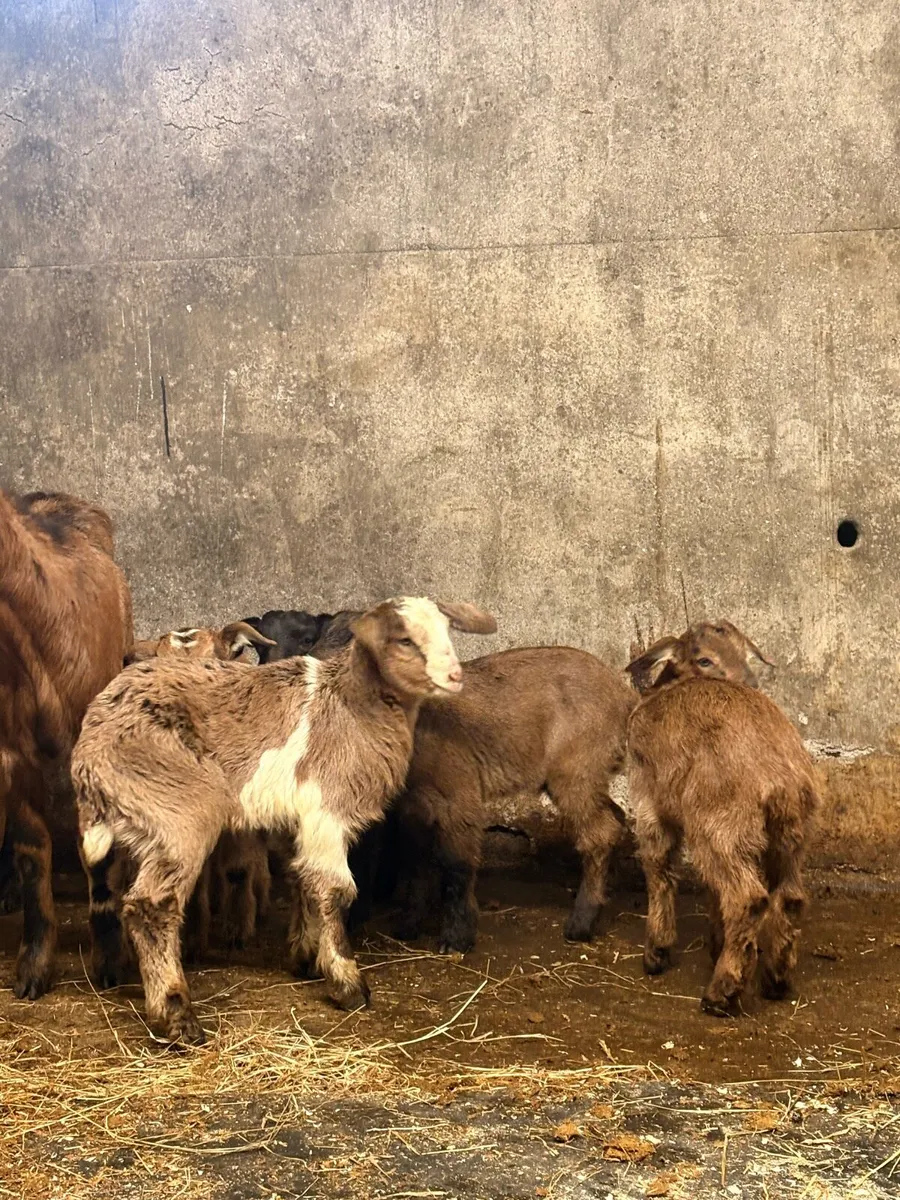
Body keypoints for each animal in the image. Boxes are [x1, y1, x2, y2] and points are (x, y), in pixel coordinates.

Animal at [72, 597, 496, 1043]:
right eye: (403, 639)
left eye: (447, 629)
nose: (455, 676)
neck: (352, 704)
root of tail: (90, 750)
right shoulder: (327, 808)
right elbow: (336, 891)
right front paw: (347, 984)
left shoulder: (302, 822)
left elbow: (304, 881)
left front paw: (306, 958)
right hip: (178, 812)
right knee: (151, 905)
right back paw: (177, 1015)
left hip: (129, 829)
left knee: (110, 895)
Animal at [626, 622, 819, 1016]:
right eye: (705, 659)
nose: (751, 682)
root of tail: (781, 778)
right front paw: (714, 944)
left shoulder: (648, 799)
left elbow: (658, 869)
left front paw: (657, 951)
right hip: (787, 836)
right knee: (788, 897)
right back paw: (775, 978)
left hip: (722, 824)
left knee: (748, 898)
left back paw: (722, 992)